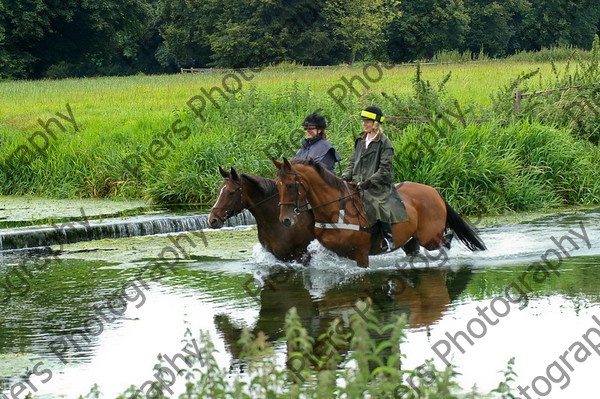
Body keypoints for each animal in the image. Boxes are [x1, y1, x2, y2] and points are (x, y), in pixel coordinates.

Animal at [274, 159, 486, 268]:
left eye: (291, 185)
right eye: (277, 184)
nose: (285, 219)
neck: (336, 210)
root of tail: (434, 191)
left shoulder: (361, 255)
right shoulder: (332, 250)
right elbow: (309, 256)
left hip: (430, 237)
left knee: (446, 240)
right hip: (412, 239)